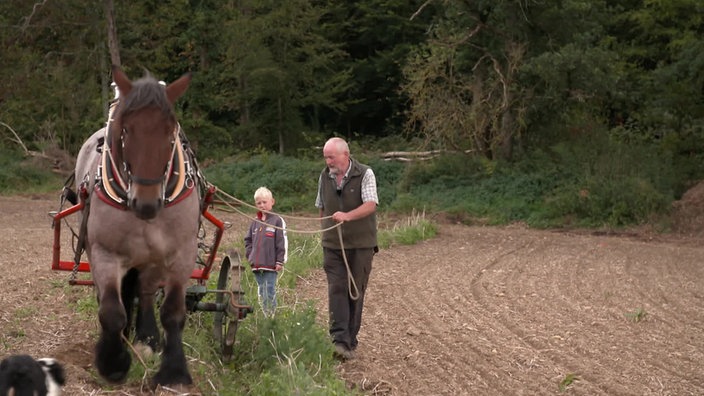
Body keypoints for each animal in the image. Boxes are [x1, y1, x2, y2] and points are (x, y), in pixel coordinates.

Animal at [74, 65, 198, 386]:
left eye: (170, 131)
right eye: (126, 129)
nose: (146, 203)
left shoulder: (181, 253)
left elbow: (173, 311)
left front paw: (174, 370)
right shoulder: (105, 253)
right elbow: (111, 311)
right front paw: (113, 362)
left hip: (151, 257)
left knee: (145, 290)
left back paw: (146, 337)